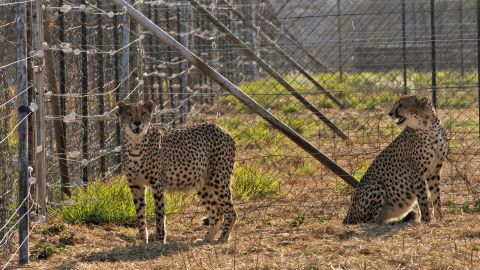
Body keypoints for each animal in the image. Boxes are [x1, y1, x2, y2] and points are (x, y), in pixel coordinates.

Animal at [116, 100, 236, 244]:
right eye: (129, 113)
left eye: (143, 113)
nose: (137, 122)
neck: (135, 143)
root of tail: (222, 129)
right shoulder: (135, 185)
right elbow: (140, 214)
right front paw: (143, 241)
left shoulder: (157, 184)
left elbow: (159, 214)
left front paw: (160, 241)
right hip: (203, 184)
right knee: (217, 212)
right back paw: (206, 239)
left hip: (218, 179)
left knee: (231, 211)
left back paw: (223, 238)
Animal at [344, 96, 448, 225]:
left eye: (401, 105)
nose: (390, 113)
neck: (429, 127)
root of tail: (347, 215)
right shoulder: (417, 173)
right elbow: (423, 199)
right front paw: (425, 220)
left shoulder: (434, 171)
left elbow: (436, 196)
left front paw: (440, 218)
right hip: (377, 185)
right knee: (368, 221)